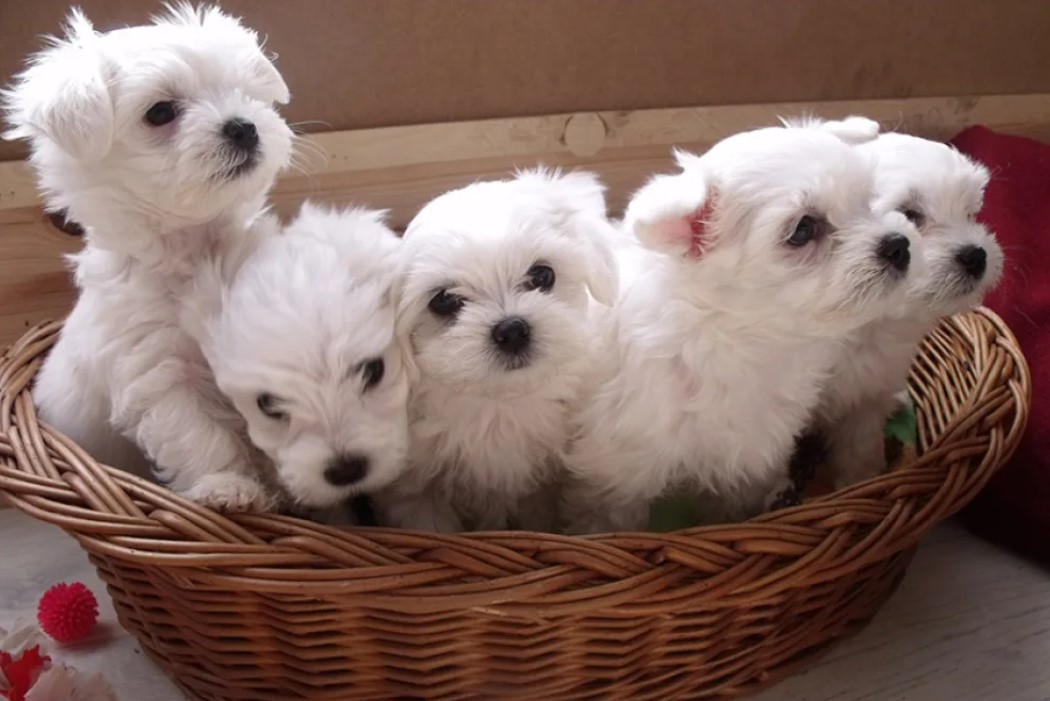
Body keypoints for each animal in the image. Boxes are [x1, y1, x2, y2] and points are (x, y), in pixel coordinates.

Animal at [4, 4, 294, 509]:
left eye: (244, 92)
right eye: (160, 112)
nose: (243, 125)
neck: (196, 248)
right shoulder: (158, 373)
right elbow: (199, 436)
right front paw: (229, 488)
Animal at [373, 168, 619, 532]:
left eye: (542, 275)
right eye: (444, 300)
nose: (512, 329)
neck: (500, 404)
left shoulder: (544, 489)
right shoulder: (418, 492)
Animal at [560, 118, 923, 534]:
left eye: (869, 200)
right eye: (803, 230)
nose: (898, 244)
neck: (741, 340)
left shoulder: (748, 460)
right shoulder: (616, 474)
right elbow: (609, 520)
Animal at [810, 129, 1003, 488]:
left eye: (970, 213)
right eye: (910, 215)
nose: (977, 256)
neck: (866, 325)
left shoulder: (867, 396)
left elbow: (859, 446)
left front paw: (859, 483)